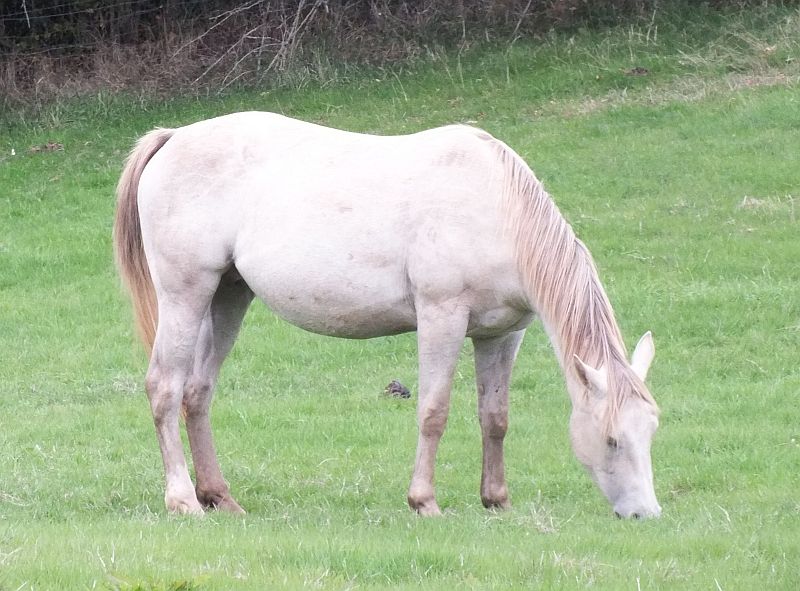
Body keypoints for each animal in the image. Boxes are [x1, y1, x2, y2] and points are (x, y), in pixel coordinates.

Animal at [114, 112, 661, 519]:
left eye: (651, 431)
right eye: (612, 440)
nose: (644, 514)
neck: (495, 208)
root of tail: (174, 137)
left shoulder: (502, 335)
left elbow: (495, 417)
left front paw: (496, 500)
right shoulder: (442, 318)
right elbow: (434, 412)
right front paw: (424, 502)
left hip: (228, 297)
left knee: (197, 392)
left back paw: (220, 497)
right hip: (185, 296)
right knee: (165, 388)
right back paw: (183, 500)